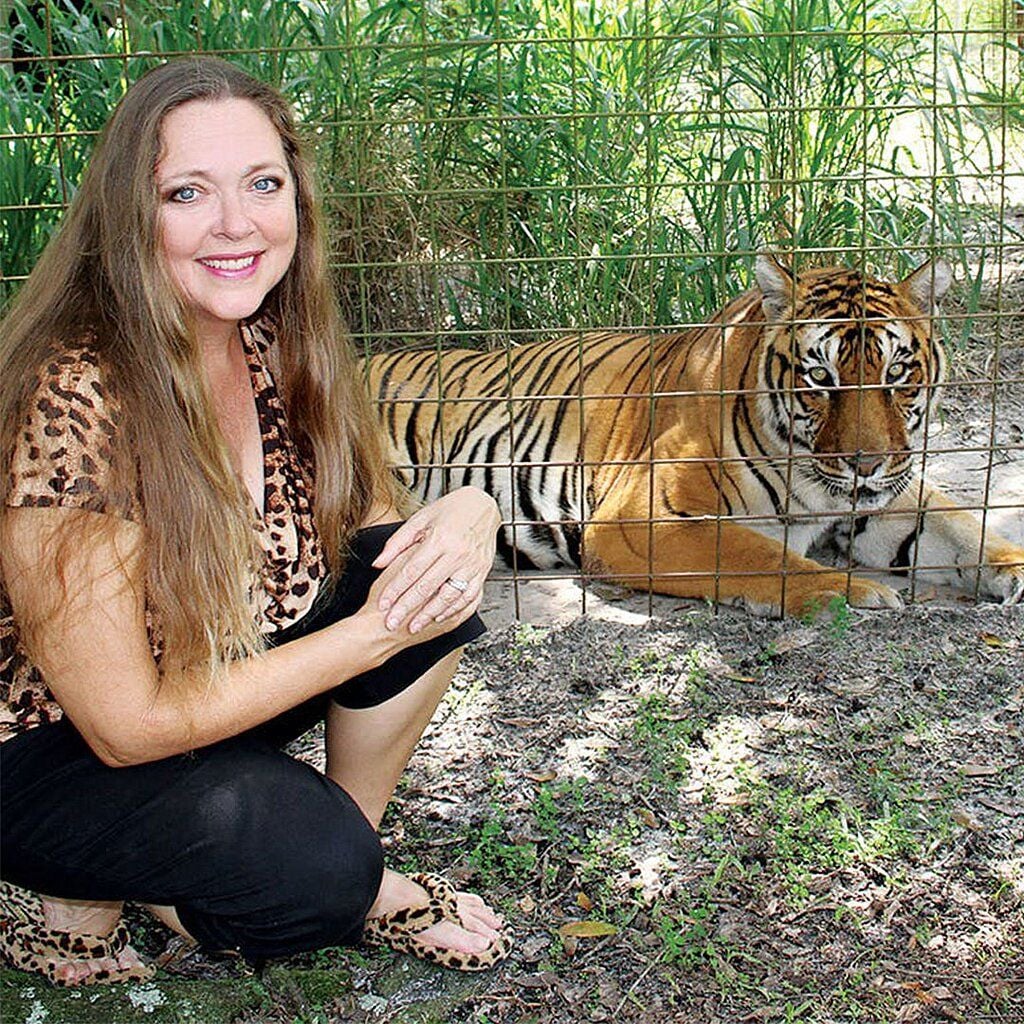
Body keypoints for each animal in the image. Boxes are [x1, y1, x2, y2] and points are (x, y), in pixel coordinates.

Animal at [366, 256, 1024, 616]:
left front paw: (1010, 567)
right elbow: (755, 553)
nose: (866, 464)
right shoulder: (640, 517)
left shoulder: (883, 499)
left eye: (897, 374)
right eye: (821, 378)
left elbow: (960, 528)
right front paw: (852, 592)